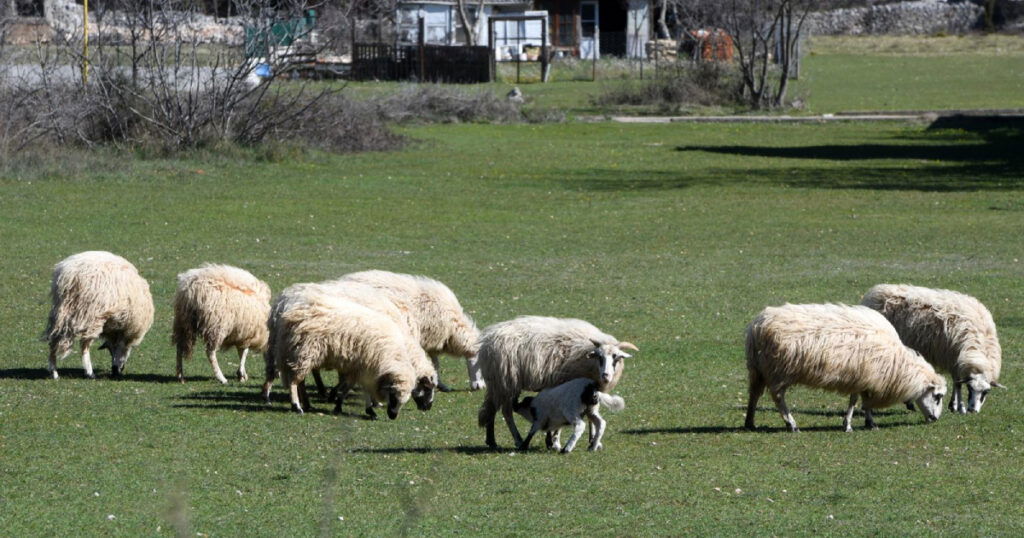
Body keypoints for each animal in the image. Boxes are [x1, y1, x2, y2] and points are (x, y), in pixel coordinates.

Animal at [475, 315, 634, 448]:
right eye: (599, 357)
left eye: (616, 358)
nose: (606, 375)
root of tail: (488, 339)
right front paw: (554, 441)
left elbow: (591, 416)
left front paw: (593, 440)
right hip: (506, 381)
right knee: (506, 412)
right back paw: (516, 440)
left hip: (498, 383)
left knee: (491, 408)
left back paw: (491, 440)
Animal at [741, 301, 946, 432]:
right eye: (937, 396)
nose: (935, 419)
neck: (897, 363)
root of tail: (756, 326)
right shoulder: (864, 376)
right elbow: (858, 401)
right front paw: (851, 424)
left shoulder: (863, 376)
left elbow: (862, 401)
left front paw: (866, 422)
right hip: (779, 370)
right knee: (777, 397)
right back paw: (791, 424)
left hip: (758, 369)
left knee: (754, 394)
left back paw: (750, 422)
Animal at [860, 282, 1003, 414]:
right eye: (970, 388)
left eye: (986, 392)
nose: (973, 410)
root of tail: (874, 292)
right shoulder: (953, 357)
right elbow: (957, 383)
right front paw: (959, 407)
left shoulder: (956, 359)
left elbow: (956, 382)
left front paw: (954, 405)